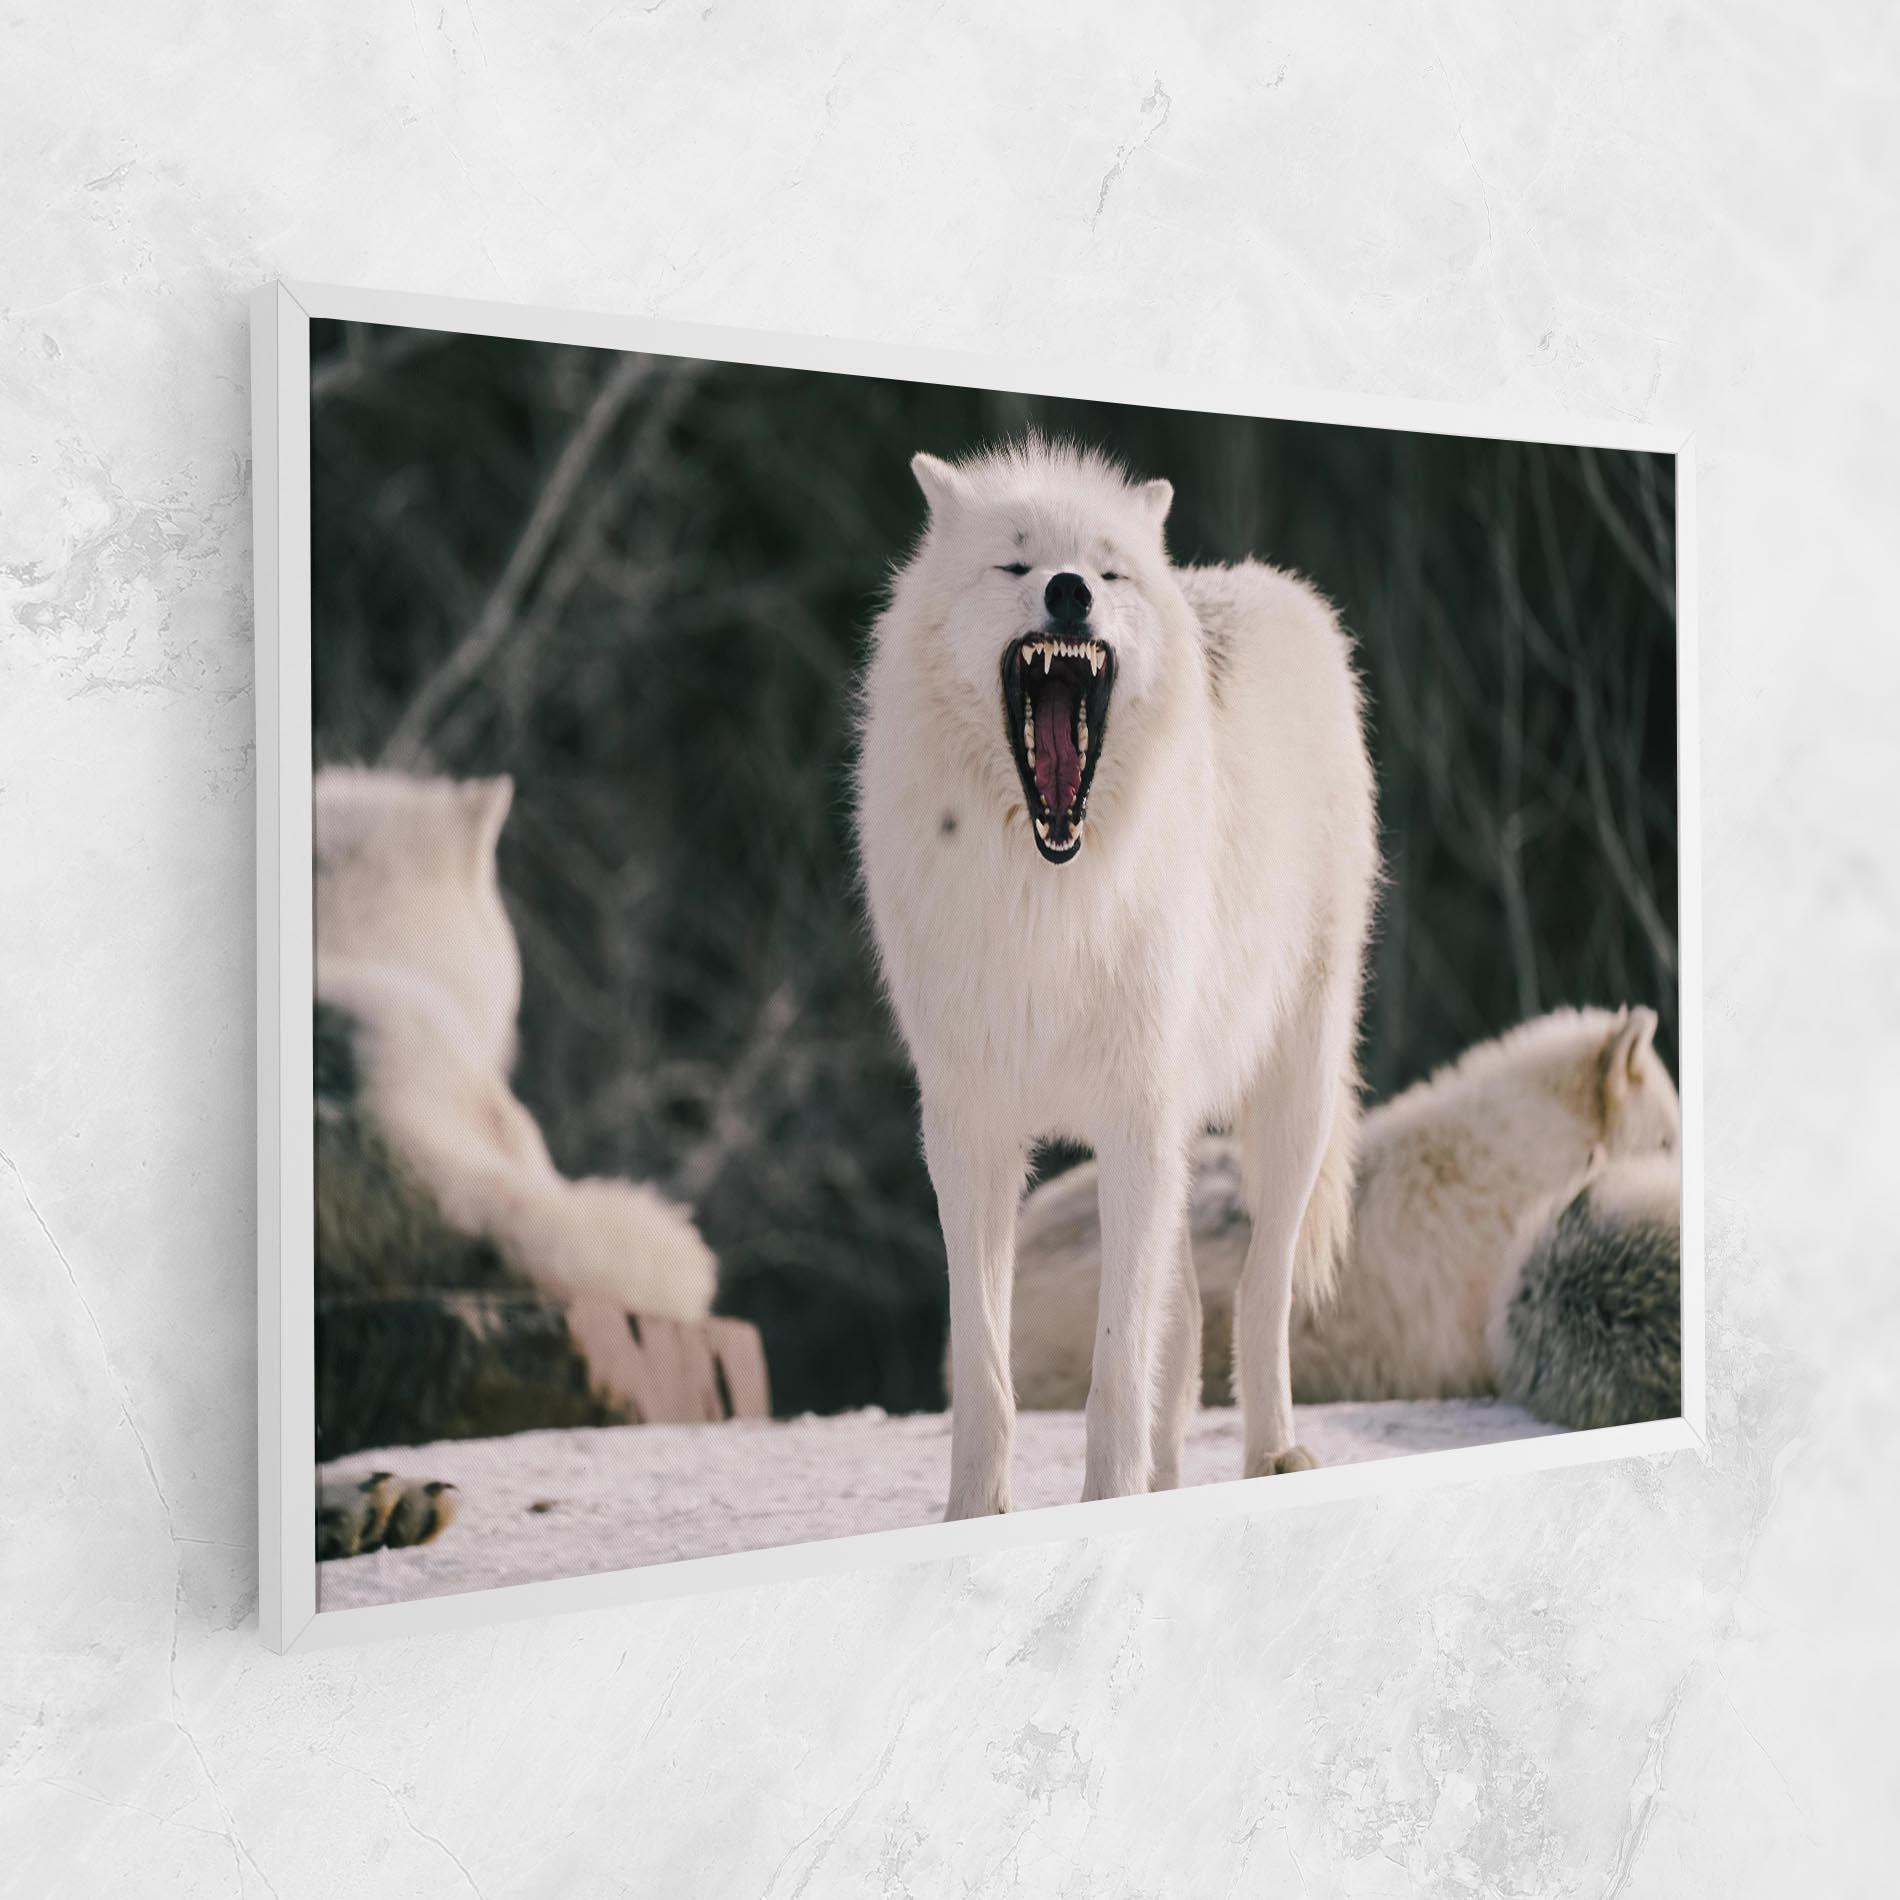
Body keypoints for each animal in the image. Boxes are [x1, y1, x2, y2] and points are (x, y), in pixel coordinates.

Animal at [857, 440, 1377, 1515]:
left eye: (1107, 571)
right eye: (1016, 563)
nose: (1068, 593)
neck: (1048, 894)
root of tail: (1264, 584)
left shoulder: (1133, 1120)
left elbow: (1114, 1367)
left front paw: (1106, 1496)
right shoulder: (969, 1133)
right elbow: (986, 1369)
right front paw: (973, 1512)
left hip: (1292, 1098)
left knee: (1257, 1298)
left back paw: (1274, 1455)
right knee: (1185, 1327)